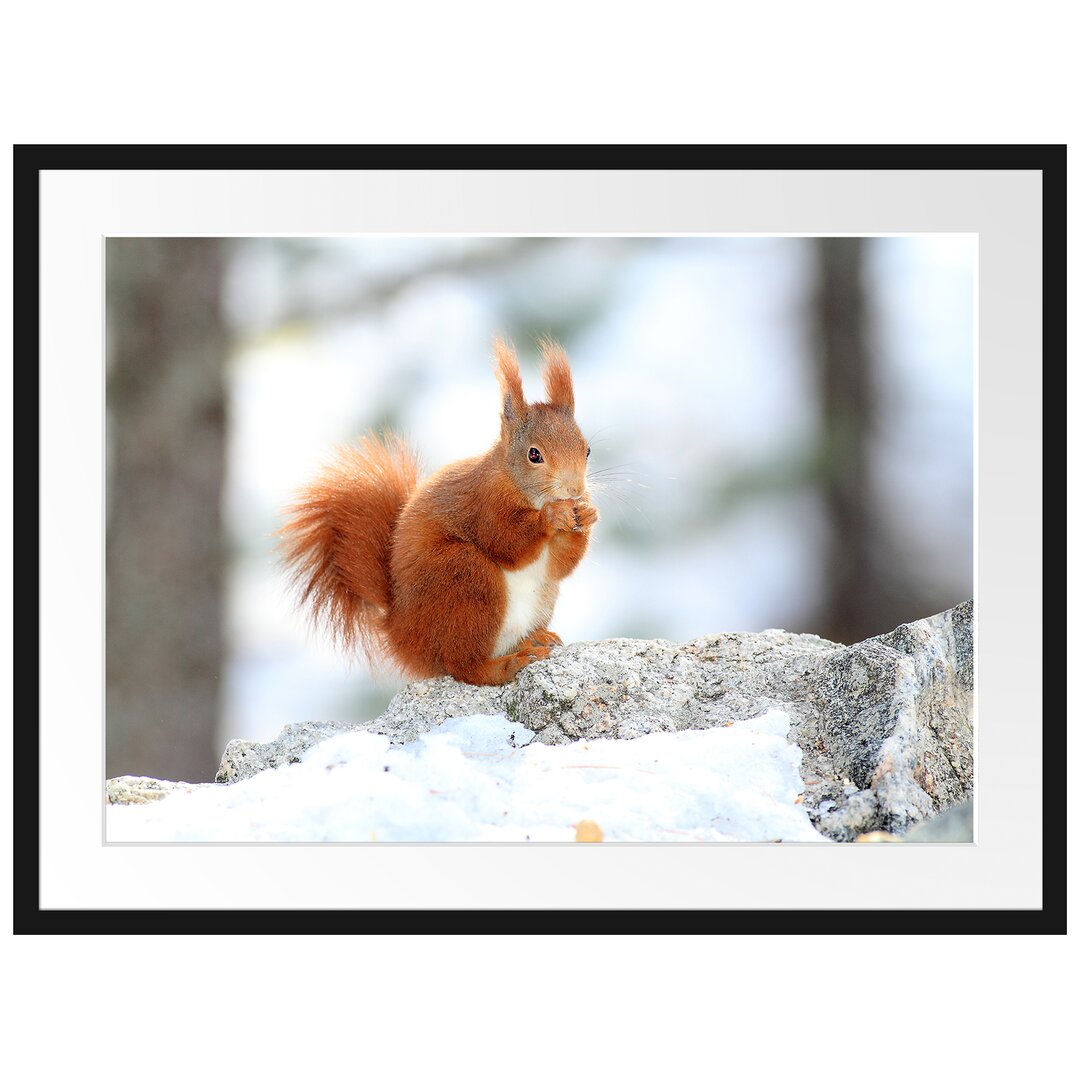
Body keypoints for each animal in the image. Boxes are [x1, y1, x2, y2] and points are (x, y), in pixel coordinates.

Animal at [276, 336, 600, 682]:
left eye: (587, 450)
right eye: (534, 454)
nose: (575, 490)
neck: (522, 488)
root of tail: (402, 635)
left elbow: (559, 567)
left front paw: (588, 514)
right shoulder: (484, 503)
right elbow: (506, 542)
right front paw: (550, 518)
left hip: (538, 597)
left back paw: (535, 638)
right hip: (464, 578)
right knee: (465, 667)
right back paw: (507, 664)